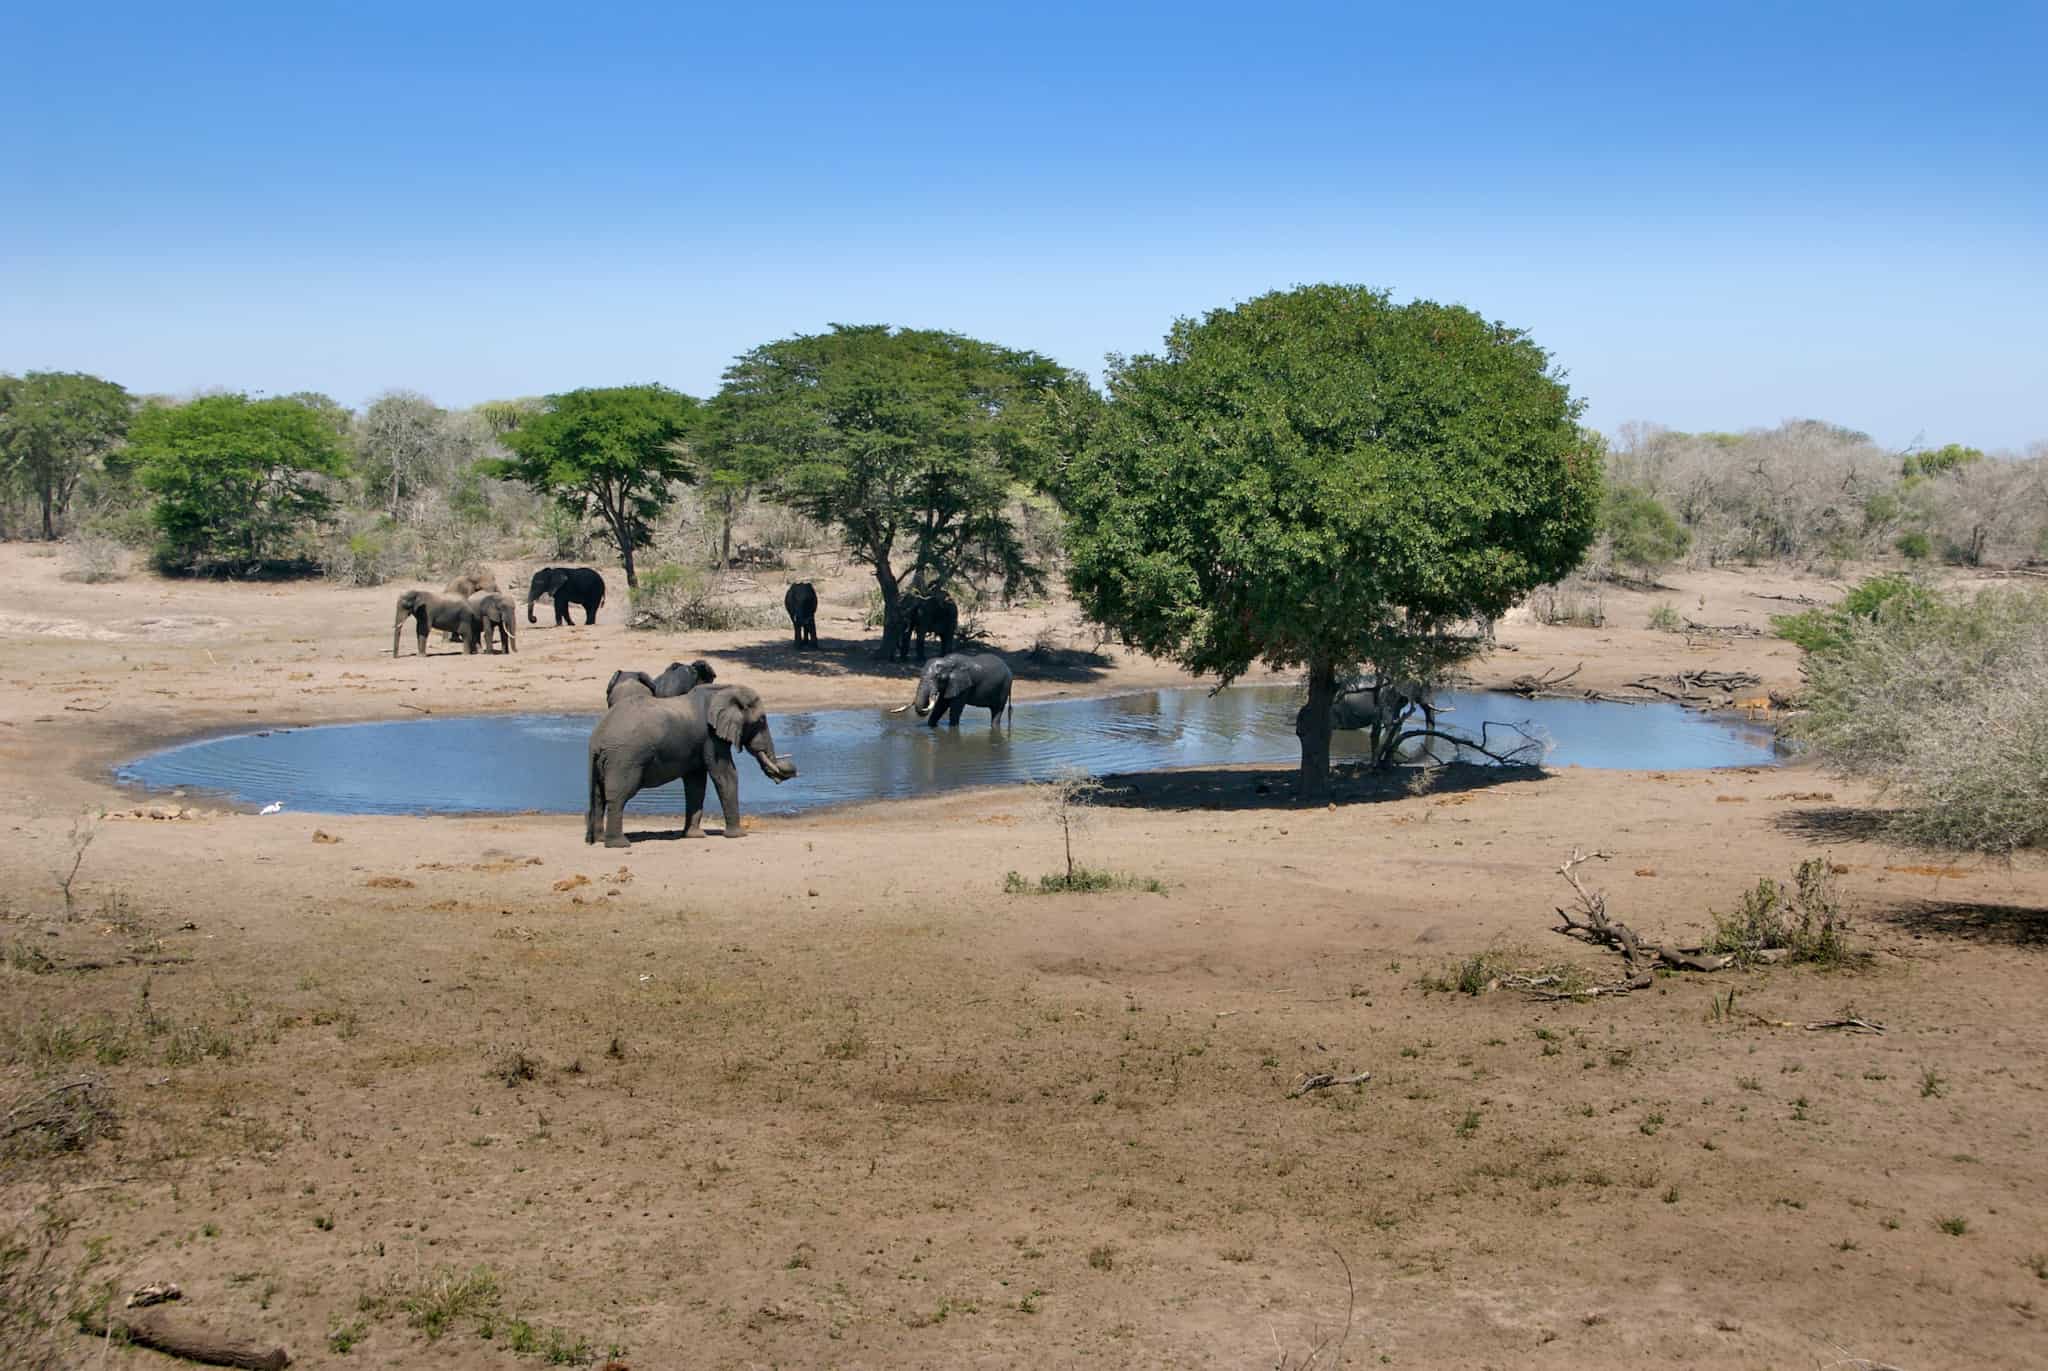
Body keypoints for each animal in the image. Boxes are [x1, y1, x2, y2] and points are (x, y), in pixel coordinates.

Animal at [586, 679, 797, 847]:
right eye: (761, 720)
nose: (787, 772)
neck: (724, 689)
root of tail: (598, 738)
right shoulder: (711, 736)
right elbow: (726, 774)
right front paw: (738, 835)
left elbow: (696, 782)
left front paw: (694, 836)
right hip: (625, 758)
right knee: (618, 796)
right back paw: (619, 844)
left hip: (606, 761)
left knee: (598, 796)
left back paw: (598, 840)